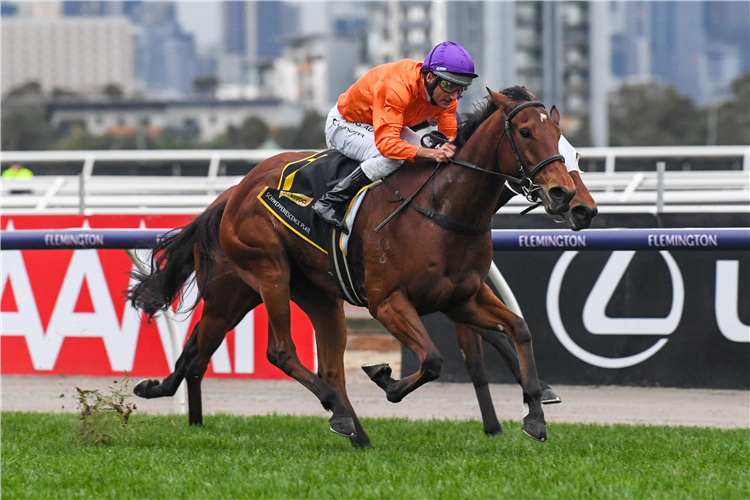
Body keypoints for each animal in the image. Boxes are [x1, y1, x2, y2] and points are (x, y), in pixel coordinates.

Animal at [132, 87, 580, 446]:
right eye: (526, 132)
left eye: (560, 136)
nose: (564, 195)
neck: (442, 207)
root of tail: (235, 190)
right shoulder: (387, 301)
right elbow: (432, 359)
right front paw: (386, 379)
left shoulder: (461, 297)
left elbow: (519, 329)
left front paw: (536, 415)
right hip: (265, 273)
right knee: (278, 351)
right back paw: (341, 415)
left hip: (307, 294)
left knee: (292, 363)